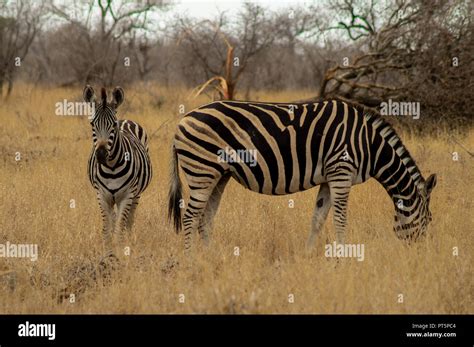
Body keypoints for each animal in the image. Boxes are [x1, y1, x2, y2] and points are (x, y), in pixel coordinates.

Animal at [84, 86, 153, 256]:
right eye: (92, 124)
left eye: (113, 125)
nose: (101, 154)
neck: (111, 167)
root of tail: (125, 120)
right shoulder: (102, 195)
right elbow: (106, 228)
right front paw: (108, 251)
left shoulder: (128, 194)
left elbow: (121, 228)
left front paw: (121, 250)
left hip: (136, 194)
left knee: (129, 220)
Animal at [168, 99, 438, 251]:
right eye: (429, 221)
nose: (420, 255)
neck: (369, 145)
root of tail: (182, 120)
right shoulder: (341, 172)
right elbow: (340, 219)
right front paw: (344, 256)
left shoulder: (330, 178)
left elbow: (318, 218)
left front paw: (309, 254)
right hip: (202, 170)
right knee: (190, 216)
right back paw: (191, 259)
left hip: (218, 174)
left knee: (206, 217)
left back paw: (210, 256)